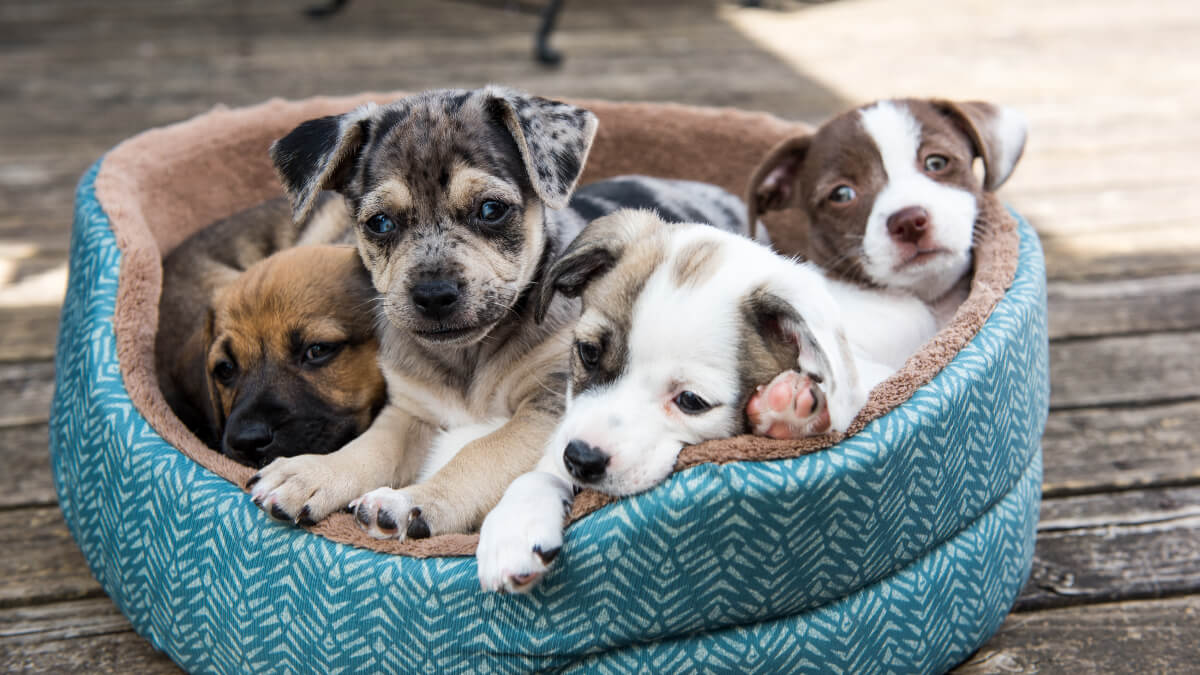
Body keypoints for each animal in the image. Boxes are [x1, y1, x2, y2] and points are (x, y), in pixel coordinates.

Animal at [472, 208, 931, 588]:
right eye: (587, 352)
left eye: (691, 401)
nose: (582, 459)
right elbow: (538, 473)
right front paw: (514, 524)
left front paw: (788, 412)